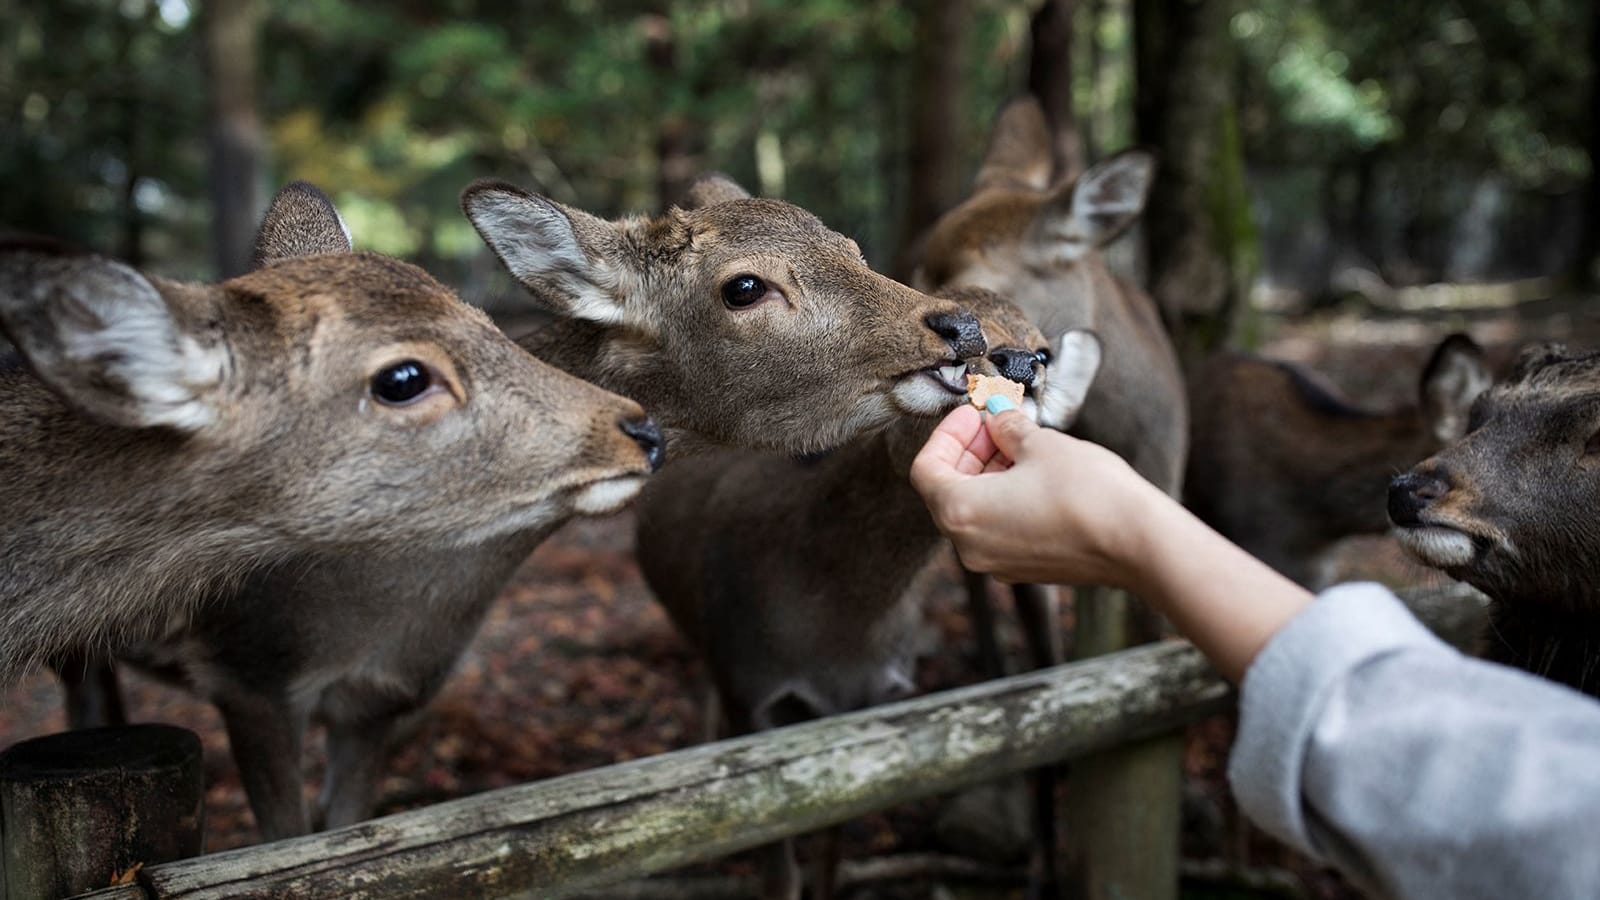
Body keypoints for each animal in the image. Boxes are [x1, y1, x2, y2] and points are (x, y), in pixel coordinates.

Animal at [68, 175, 985, 839]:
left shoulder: (387, 697)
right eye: (745, 287)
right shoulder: (248, 673)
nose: (962, 329)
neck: (369, 599)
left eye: (851, 247)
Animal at [633, 285, 1100, 896]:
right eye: (959, 339)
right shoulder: (748, 685)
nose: (1021, 365)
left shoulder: (866, 702)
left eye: (1043, 351)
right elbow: (776, 865)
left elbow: (833, 844)